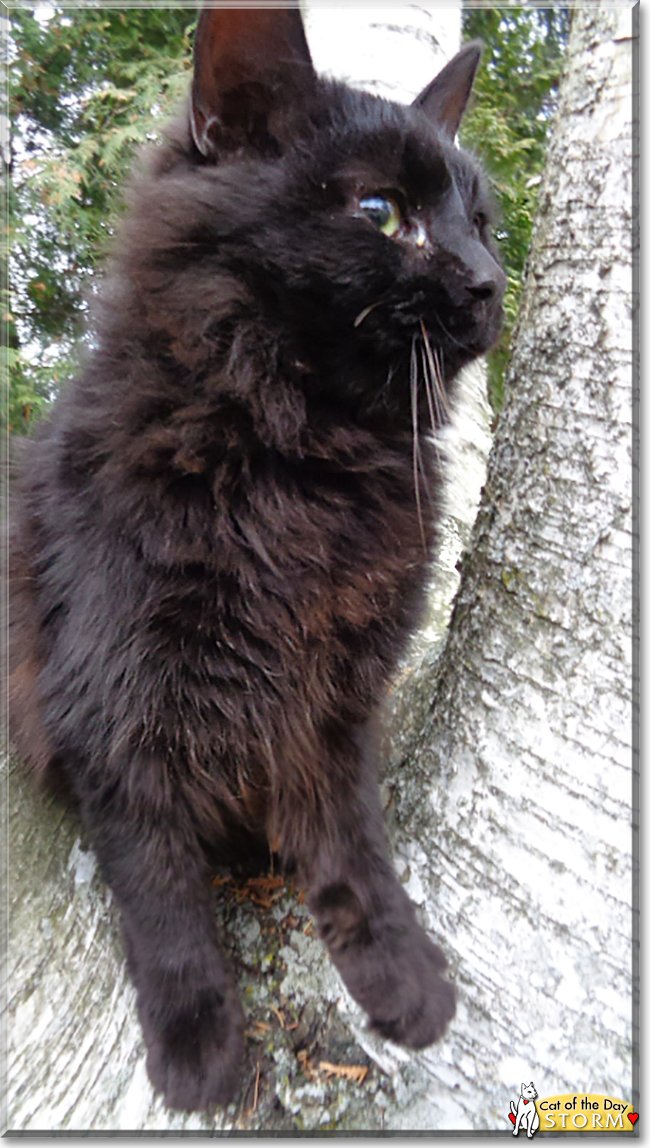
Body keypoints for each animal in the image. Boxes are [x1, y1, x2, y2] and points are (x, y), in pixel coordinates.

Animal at [11, 2, 509, 1111]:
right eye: (380, 210)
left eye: (480, 220)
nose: (491, 283)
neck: (301, 458)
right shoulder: (115, 705)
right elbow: (160, 893)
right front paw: (198, 1045)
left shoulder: (333, 695)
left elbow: (352, 846)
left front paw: (399, 973)